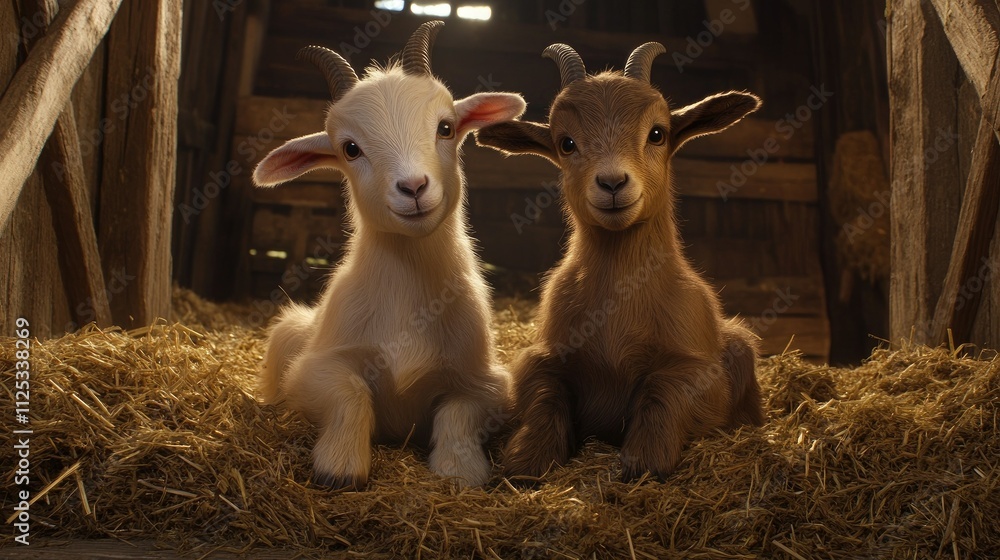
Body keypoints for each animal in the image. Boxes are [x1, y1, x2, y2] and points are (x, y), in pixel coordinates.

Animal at [252, 21, 525, 489]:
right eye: (350, 148)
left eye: (446, 127)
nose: (413, 187)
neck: (407, 296)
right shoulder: (313, 369)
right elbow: (350, 393)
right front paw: (339, 466)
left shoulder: (488, 384)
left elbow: (457, 414)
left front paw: (460, 469)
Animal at [476, 42, 765, 483]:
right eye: (566, 143)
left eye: (657, 133)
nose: (612, 183)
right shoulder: (541, 356)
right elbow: (543, 395)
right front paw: (526, 460)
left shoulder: (699, 373)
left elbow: (662, 393)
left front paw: (644, 460)